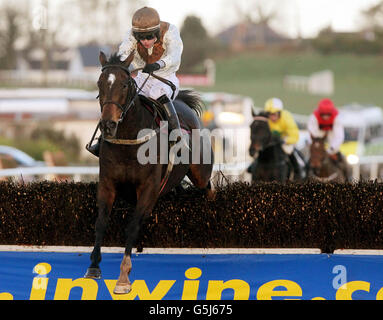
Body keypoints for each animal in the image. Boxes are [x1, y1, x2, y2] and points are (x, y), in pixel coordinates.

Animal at [84, 52, 214, 296]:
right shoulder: (107, 183)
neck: (129, 140)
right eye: (99, 83)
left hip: (200, 172)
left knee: (209, 187)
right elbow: (101, 222)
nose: (108, 125)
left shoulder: (148, 188)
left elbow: (132, 226)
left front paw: (123, 277)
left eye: (125, 84)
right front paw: (94, 266)